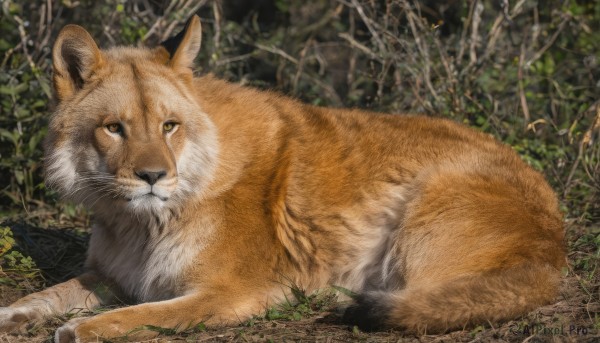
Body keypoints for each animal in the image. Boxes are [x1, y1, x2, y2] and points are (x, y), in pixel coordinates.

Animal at [0, 14, 564, 342]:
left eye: (168, 126)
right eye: (114, 128)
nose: (153, 176)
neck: (140, 224)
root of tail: (554, 246)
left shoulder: (232, 293)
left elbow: (136, 317)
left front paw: (80, 328)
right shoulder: (112, 275)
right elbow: (44, 295)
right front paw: (15, 315)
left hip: (419, 221)